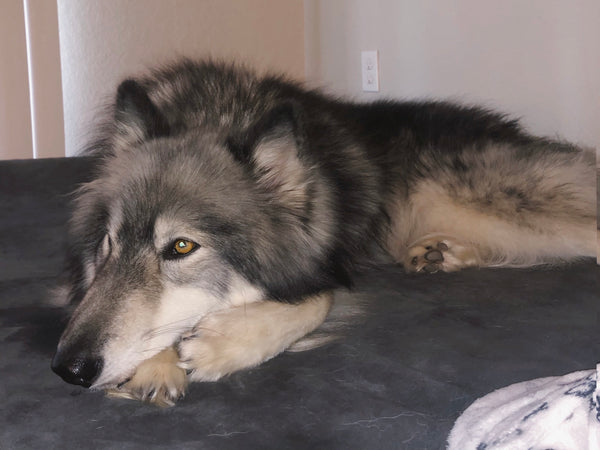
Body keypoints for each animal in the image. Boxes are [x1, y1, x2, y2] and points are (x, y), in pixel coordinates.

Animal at [50, 58, 596, 406]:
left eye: (182, 246)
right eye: (109, 243)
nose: (68, 370)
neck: (214, 114)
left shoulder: (331, 262)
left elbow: (319, 297)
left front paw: (219, 345)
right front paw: (155, 365)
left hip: (479, 197)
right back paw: (441, 252)